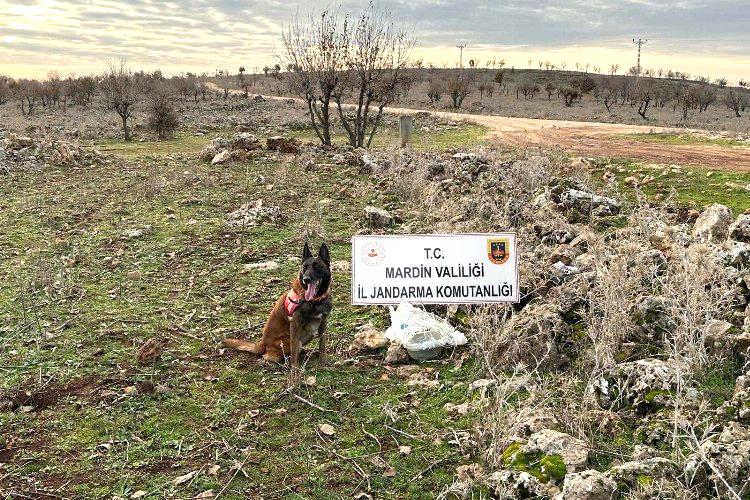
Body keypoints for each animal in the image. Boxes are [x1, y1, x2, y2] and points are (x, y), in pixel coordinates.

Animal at [225, 242, 334, 382]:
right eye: (304, 268)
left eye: (317, 267)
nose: (306, 279)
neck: (315, 301)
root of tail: (262, 343)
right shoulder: (295, 326)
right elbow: (294, 354)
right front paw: (295, 372)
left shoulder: (323, 322)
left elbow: (322, 344)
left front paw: (323, 361)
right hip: (285, 342)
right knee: (273, 355)